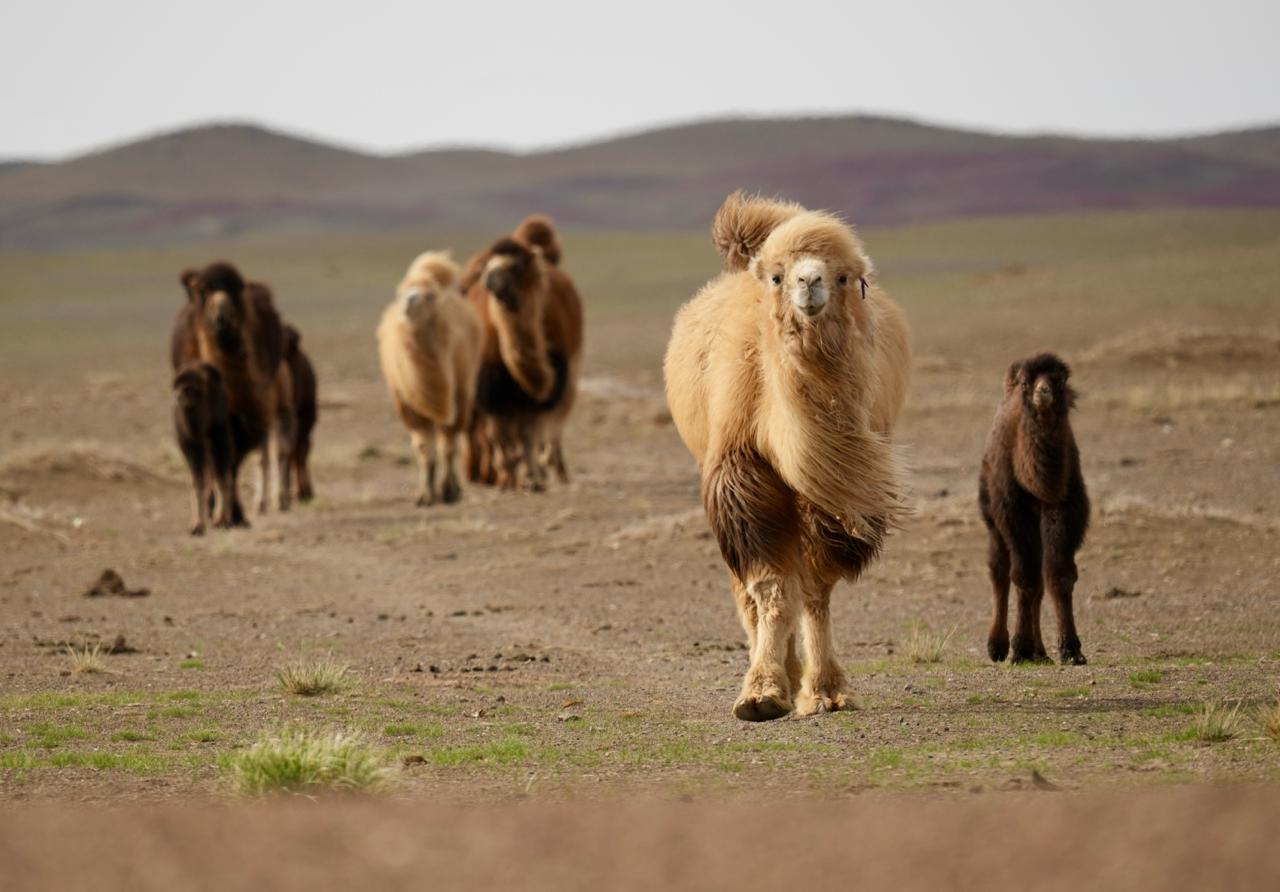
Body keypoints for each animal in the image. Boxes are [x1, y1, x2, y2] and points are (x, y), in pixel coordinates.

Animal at [377, 251, 483, 506]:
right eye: (401, 292)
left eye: (430, 296)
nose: (410, 301)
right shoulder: (407, 403)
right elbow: (424, 447)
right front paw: (425, 495)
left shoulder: (456, 397)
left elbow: (449, 445)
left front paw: (449, 491)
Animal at [464, 218, 583, 490]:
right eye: (491, 264)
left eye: (516, 266)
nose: (489, 280)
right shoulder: (491, 387)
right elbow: (499, 434)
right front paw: (508, 474)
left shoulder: (547, 388)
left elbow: (529, 433)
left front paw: (533, 477)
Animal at [664, 192, 912, 721]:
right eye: (777, 276)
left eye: (844, 276)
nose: (809, 282)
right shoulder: (741, 476)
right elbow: (771, 585)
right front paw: (760, 693)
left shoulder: (832, 493)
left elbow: (816, 588)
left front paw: (826, 691)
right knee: (747, 592)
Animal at [979, 353, 1090, 665]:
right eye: (1028, 384)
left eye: (1060, 380)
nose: (1043, 392)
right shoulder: (1011, 509)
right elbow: (1024, 577)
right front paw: (1020, 648)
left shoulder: (1065, 505)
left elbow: (1058, 574)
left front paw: (1071, 650)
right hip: (993, 519)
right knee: (1000, 571)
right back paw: (998, 646)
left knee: (1038, 576)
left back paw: (1040, 652)